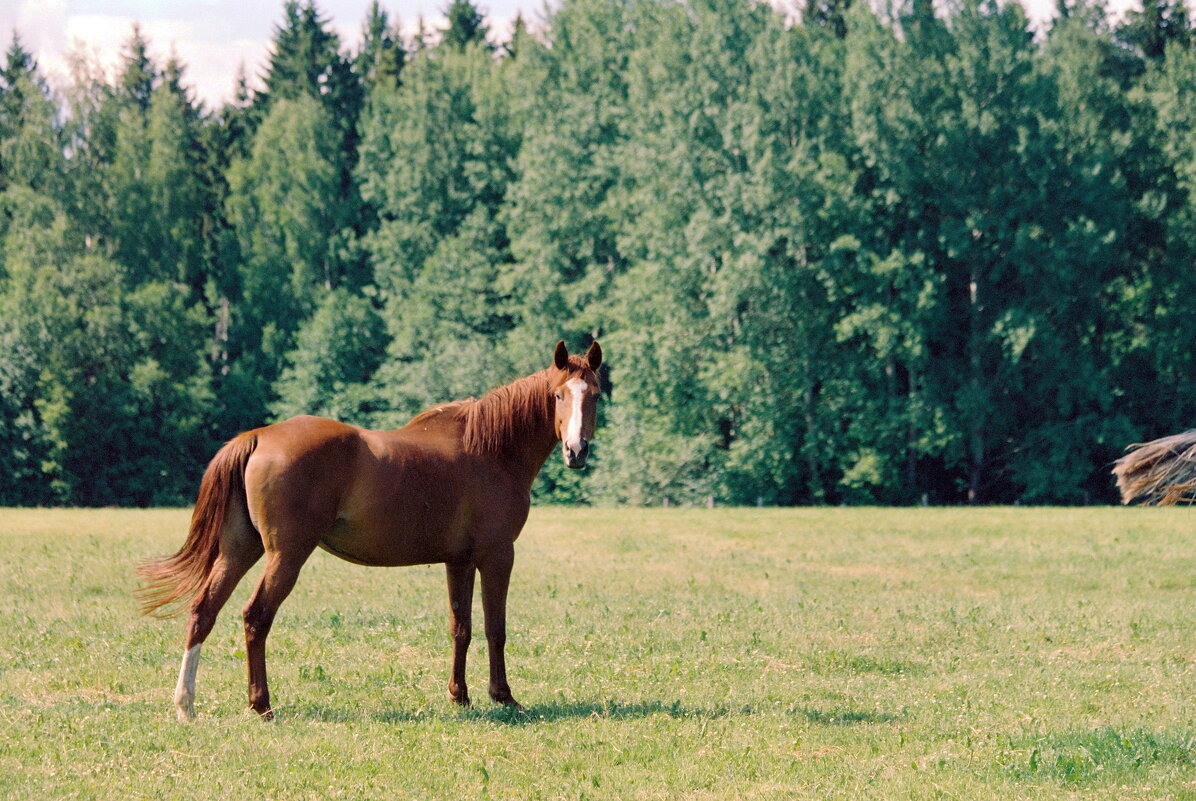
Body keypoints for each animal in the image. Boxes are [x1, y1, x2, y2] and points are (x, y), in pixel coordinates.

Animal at [138, 339, 602, 722]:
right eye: (558, 395)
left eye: (595, 395)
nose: (576, 451)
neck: (490, 451)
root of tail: (258, 436)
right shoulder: (497, 555)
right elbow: (495, 628)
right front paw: (503, 696)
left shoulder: (459, 561)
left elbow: (462, 627)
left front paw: (460, 695)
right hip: (286, 555)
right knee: (256, 617)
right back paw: (261, 705)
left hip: (239, 550)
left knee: (204, 612)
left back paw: (186, 705)